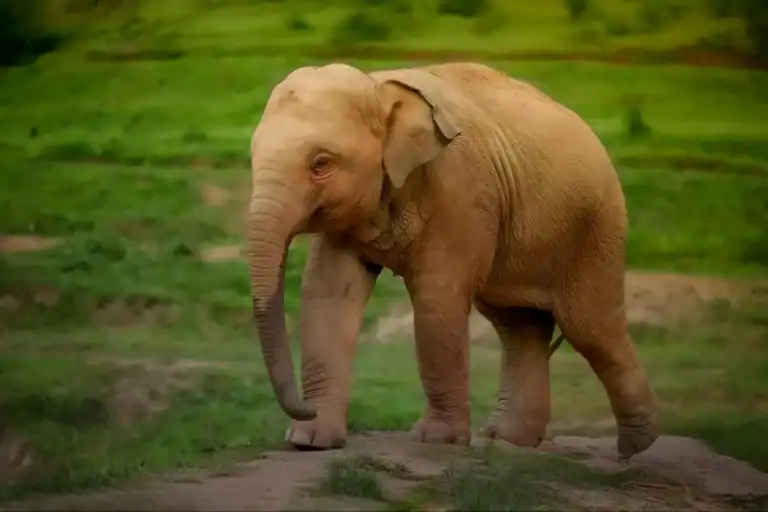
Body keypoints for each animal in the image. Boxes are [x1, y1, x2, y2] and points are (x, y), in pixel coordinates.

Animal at [247, 61, 661, 459]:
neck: (377, 85)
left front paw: (436, 439)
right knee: (518, 325)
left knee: (589, 327)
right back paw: (509, 439)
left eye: (321, 163)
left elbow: (437, 298)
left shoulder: (460, 187)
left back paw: (637, 446)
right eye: (252, 158)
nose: (305, 409)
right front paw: (310, 441)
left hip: (596, 226)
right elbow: (328, 293)